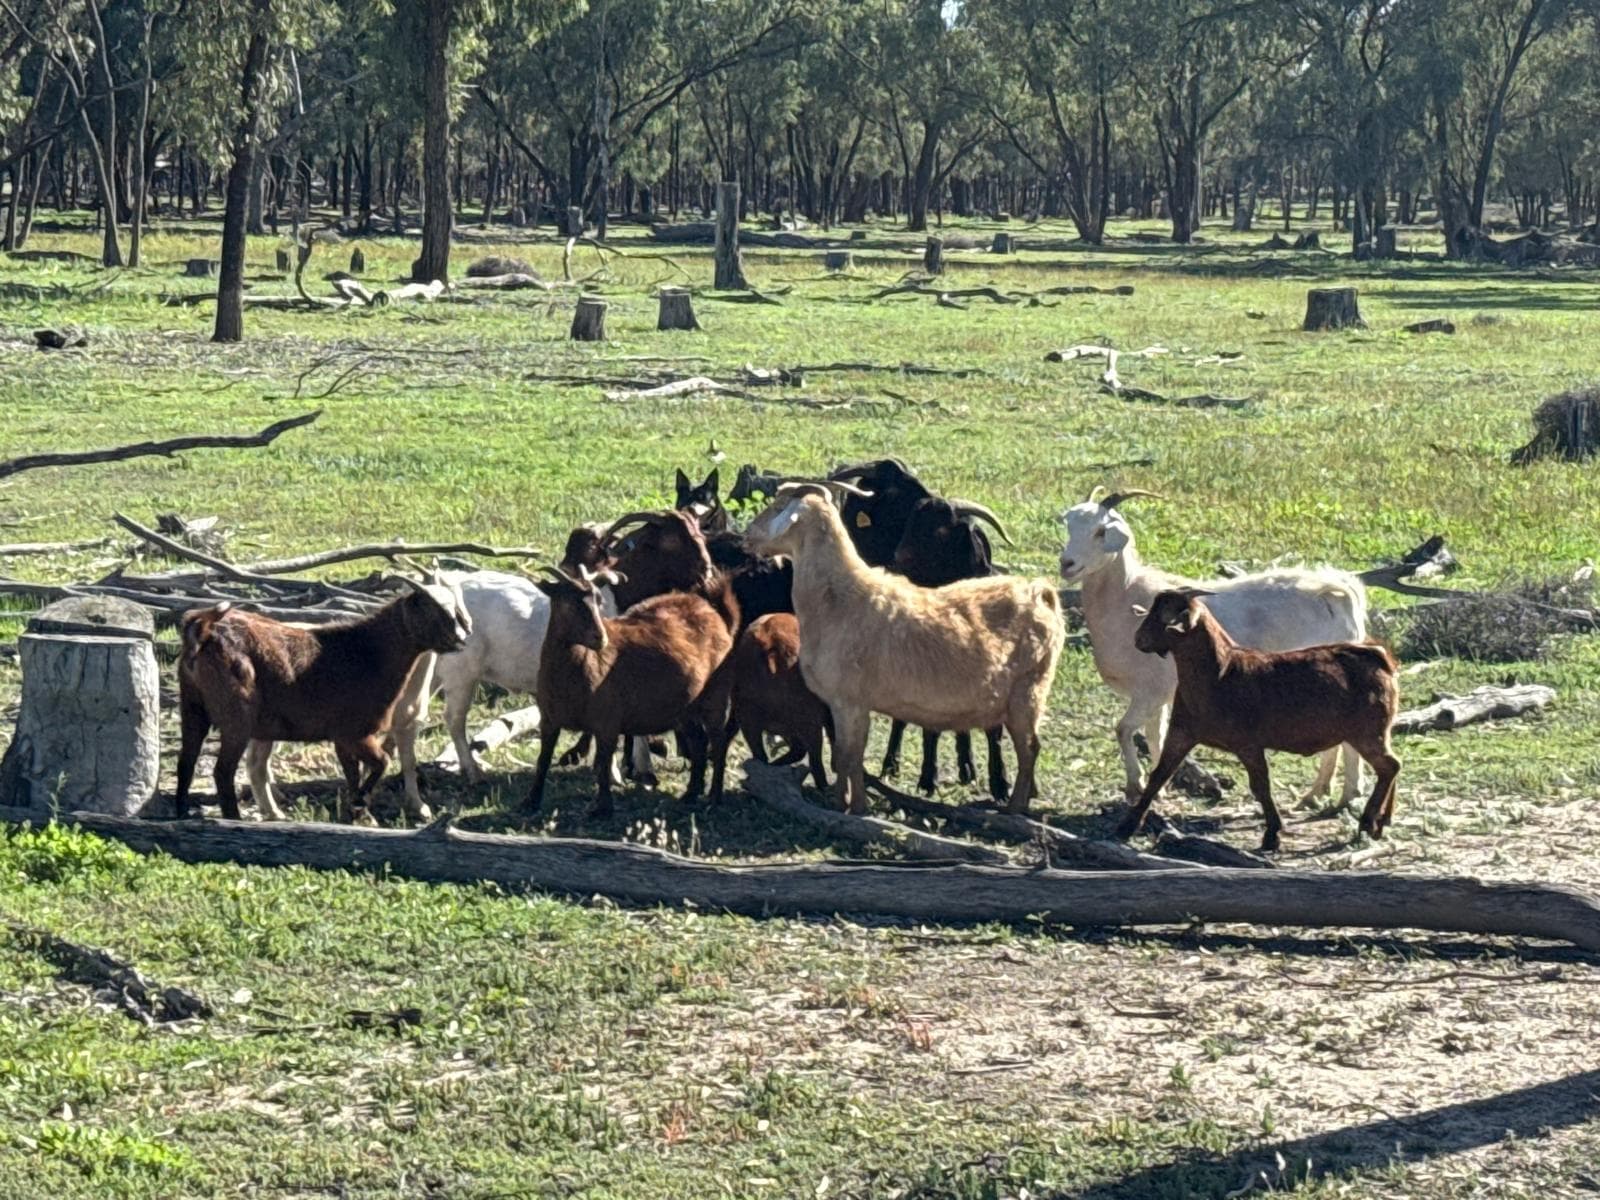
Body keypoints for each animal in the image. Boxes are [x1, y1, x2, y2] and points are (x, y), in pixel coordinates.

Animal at [175, 580, 471, 822]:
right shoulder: (355, 731)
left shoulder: (343, 737)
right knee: (223, 771)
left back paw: (182, 814)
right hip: (236, 718)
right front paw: (359, 804)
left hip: (193, 708)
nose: (461, 639)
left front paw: (356, 813)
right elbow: (382, 762)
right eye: (433, 610)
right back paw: (233, 818)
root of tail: (202, 632)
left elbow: (354, 772)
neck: (370, 651)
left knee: (186, 762)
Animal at [527, 563, 739, 816]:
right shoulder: (549, 720)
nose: (600, 638)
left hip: (715, 697)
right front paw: (530, 803)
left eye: (599, 601)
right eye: (567, 602)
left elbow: (603, 763)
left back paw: (714, 798)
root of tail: (715, 615)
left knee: (718, 743)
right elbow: (543, 760)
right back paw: (690, 794)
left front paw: (603, 809)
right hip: (685, 708)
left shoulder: (607, 721)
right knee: (698, 742)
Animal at [747, 482, 1063, 815]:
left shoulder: (851, 700)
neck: (839, 598)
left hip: (1029, 690)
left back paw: (1015, 807)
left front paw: (856, 807)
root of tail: (1040, 594)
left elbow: (850, 757)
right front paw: (840, 801)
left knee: (1029, 749)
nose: (748, 535)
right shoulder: (840, 703)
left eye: (777, 507)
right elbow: (844, 756)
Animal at [1059, 486, 1368, 808]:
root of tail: (1338, 590)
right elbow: (1156, 736)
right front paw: (1157, 788)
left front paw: (1135, 785)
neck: (1125, 596)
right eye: (1070, 526)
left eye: (1100, 531)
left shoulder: (1150, 691)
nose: (1066, 564)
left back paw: (1347, 793)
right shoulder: (1160, 694)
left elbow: (1123, 729)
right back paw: (1317, 792)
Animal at [1118, 588, 1401, 851]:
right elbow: (1159, 775)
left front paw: (1272, 834)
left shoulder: (1248, 744)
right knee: (1391, 766)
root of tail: (1378, 657)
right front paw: (1127, 826)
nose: (1138, 640)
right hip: (1376, 732)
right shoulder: (1182, 732)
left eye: (1165, 616)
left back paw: (1368, 823)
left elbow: (1261, 786)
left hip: (1367, 732)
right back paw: (1383, 820)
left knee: (1389, 767)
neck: (1220, 672)